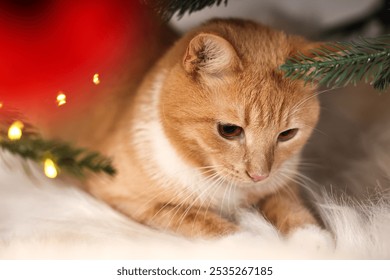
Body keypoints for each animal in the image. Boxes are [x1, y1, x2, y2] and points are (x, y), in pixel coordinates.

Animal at [87, 18, 322, 237]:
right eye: (229, 130)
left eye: (287, 134)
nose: (259, 176)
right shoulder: (130, 199)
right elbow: (208, 225)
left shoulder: (283, 182)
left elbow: (294, 211)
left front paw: (313, 242)